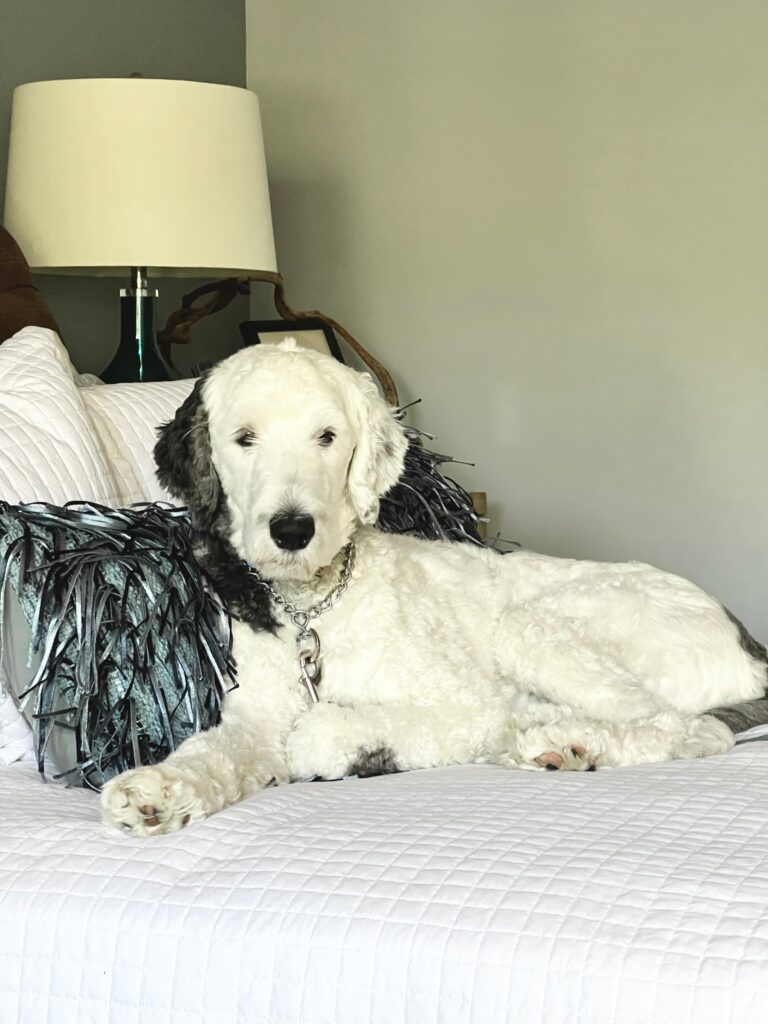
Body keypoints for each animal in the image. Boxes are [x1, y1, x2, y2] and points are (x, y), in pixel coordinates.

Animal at [100, 339, 768, 835]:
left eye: (327, 436)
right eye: (244, 438)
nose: (291, 529)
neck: (314, 608)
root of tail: (749, 644)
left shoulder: (466, 704)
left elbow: (328, 730)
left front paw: (334, 742)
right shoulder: (258, 720)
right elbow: (214, 749)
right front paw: (158, 788)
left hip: (535, 627)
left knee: (685, 729)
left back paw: (565, 741)